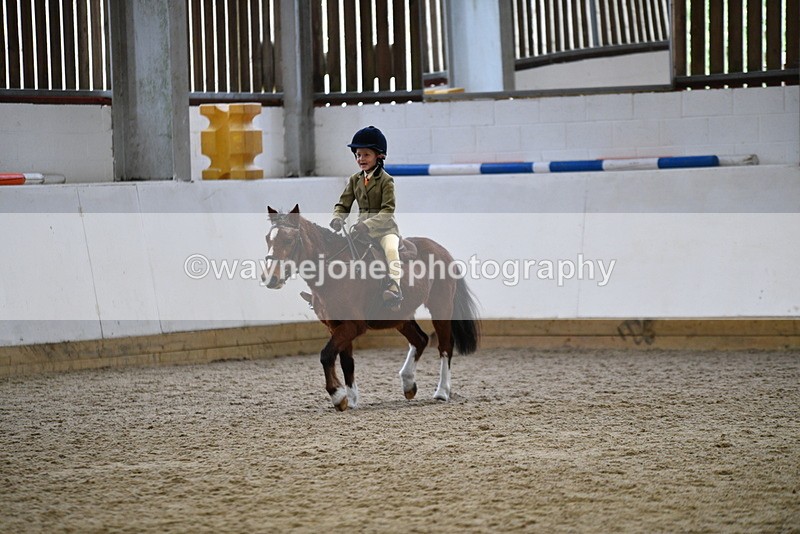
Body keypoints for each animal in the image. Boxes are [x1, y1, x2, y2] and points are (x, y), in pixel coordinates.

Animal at [261, 204, 480, 411]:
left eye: (289, 240)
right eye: (267, 239)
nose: (270, 278)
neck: (335, 270)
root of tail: (441, 250)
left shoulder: (352, 326)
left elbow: (326, 355)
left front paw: (337, 395)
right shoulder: (336, 326)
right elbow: (346, 361)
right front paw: (350, 399)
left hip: (441, 308)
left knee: (445, 346)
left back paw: (442, 391)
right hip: (400, 317)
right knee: (420, 339)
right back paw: (408, 383)